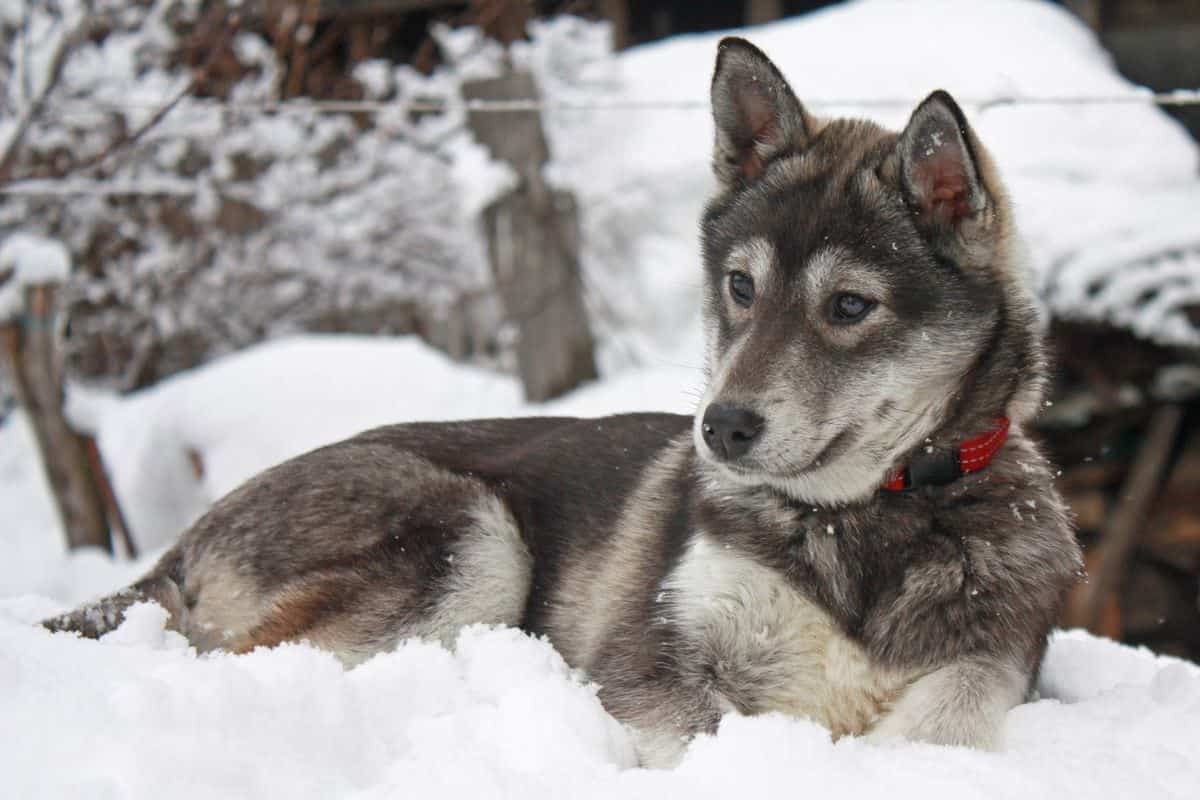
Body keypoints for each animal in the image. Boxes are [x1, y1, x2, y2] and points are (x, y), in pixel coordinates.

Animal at [46, 38, 1080, 767]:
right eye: (741, 287)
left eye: (852, 307)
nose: (721, 429)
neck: (858, 520)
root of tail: (189, 536)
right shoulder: (645, 658)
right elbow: (703, 728)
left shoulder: (990, 665)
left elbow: (940, 725)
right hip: (472, 535)